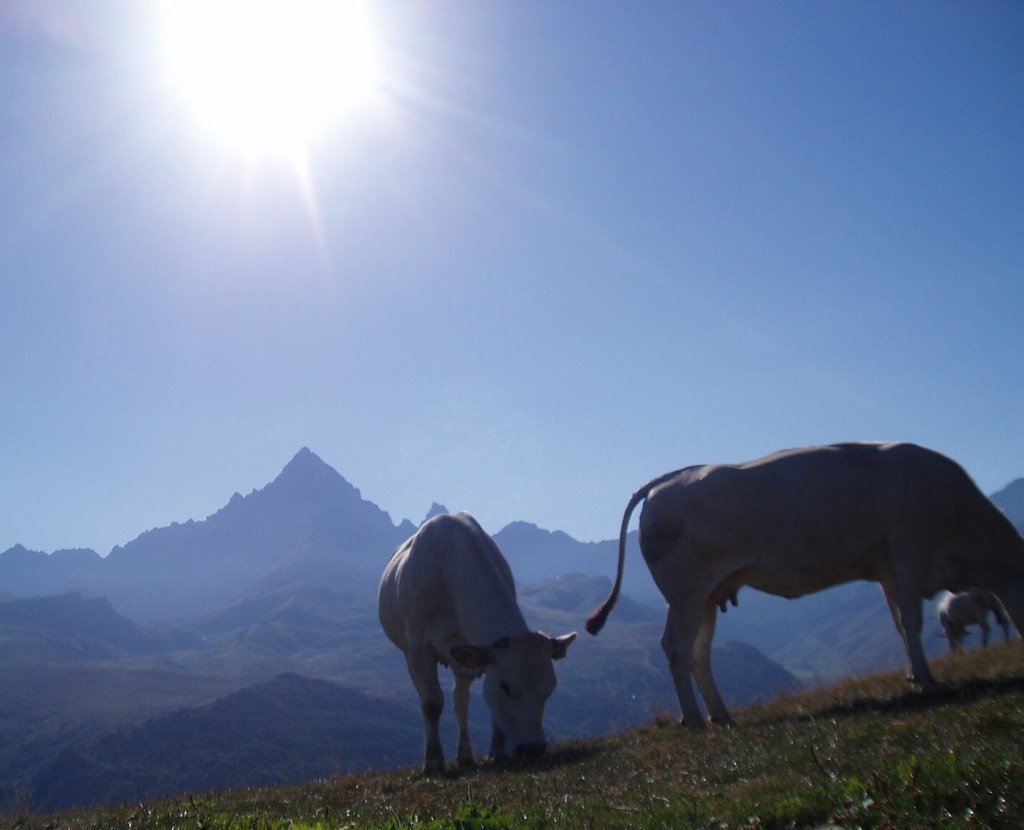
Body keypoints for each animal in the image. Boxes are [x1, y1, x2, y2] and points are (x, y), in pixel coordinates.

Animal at [380, 509, 581, 777]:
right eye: (506, 687)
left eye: (550, 688)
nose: (532, 749)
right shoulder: (419, 648)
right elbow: (432, 703)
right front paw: (433, 762)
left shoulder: (482, 651)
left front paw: (497, 752)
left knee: (460, 701)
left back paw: (465, 756)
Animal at [585, 444, 1024, 728]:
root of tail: (667, 480)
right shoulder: (908, 557)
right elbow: (912, 621)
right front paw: (927, 680)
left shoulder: (888, 571)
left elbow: (900, 623)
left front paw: (915, 676)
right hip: (686, 592)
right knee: (676, 647)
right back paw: (693, 719)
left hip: (706, 595)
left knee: (698, 652)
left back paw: (721, 715)